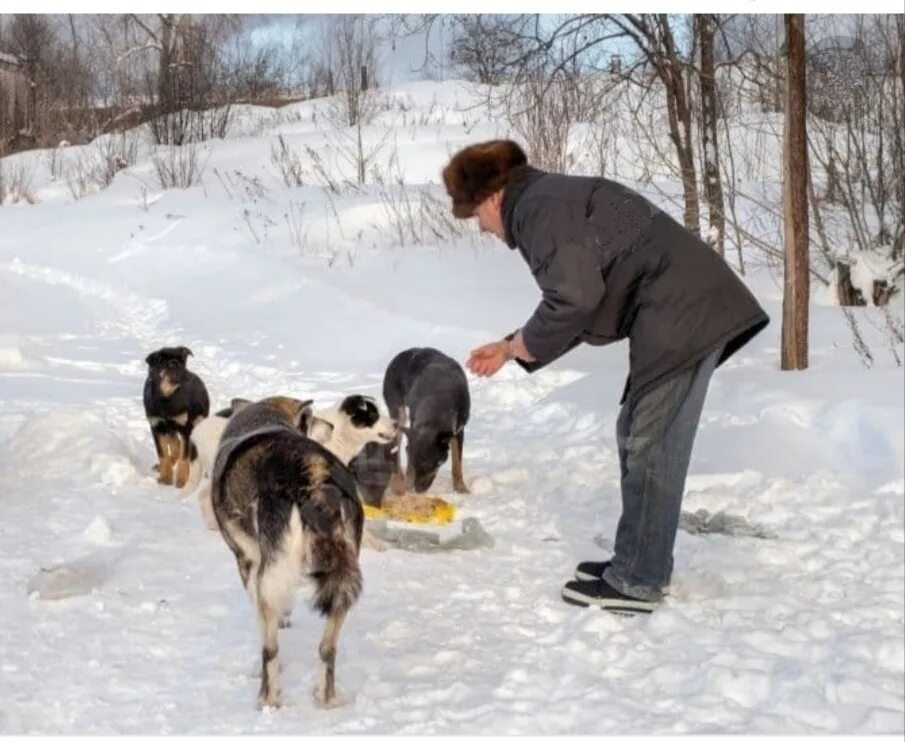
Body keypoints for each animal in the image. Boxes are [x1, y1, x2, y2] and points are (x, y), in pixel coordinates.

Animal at [143, 348, 210, 488]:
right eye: (171, 365)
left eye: (183, 363)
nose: (188, 376)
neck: (166, 399)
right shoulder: (156, 427)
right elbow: (163, 454)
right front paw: (165, 477)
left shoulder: (185, 428)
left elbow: (184, 456)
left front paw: (182, 480)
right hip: (169, 429)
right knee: (176, 446)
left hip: (196, 423)